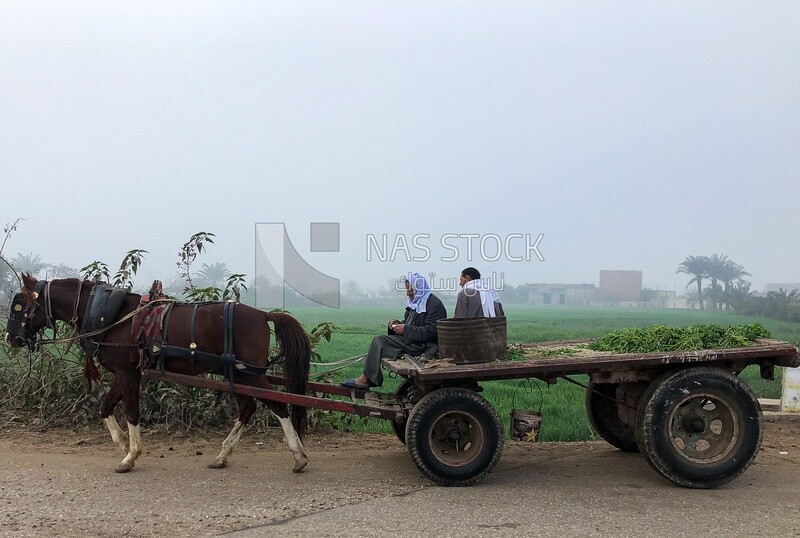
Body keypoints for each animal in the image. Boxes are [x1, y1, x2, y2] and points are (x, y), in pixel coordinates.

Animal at [4, 274, 310, 472]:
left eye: (19, 305)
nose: (10, 338)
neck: (112, 316)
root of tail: (263, 314)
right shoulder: (127, 373)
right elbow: (105, 408)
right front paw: (123, 443)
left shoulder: (127, 374)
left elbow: (131, 412)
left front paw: (131, 456)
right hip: (238, 373)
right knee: (248, 408)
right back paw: (223, 455)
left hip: (250, 373)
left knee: (278, 405)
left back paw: (298, 456)